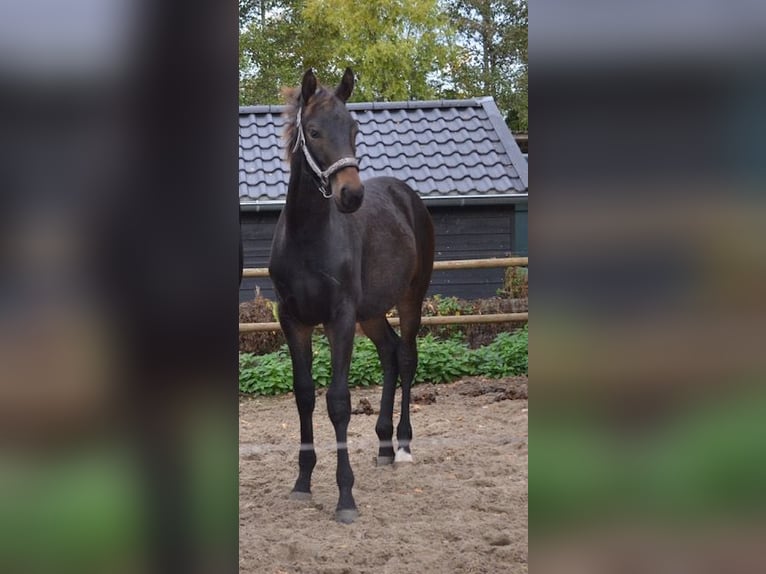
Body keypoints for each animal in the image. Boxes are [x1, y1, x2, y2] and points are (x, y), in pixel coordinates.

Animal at [270, 70, 436, 524]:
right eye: (313, 131)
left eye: (354, 130)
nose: (352, 195)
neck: (307, 238)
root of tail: (407, 195)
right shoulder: (293, 320)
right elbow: (304, 395)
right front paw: (302, 483)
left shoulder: (340, 319)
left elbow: (339, 402)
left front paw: (346, 497)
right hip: (372, 313)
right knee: (390, 354)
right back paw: (382, 445)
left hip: (410, 298)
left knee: (407, 356)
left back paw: (403, 446)